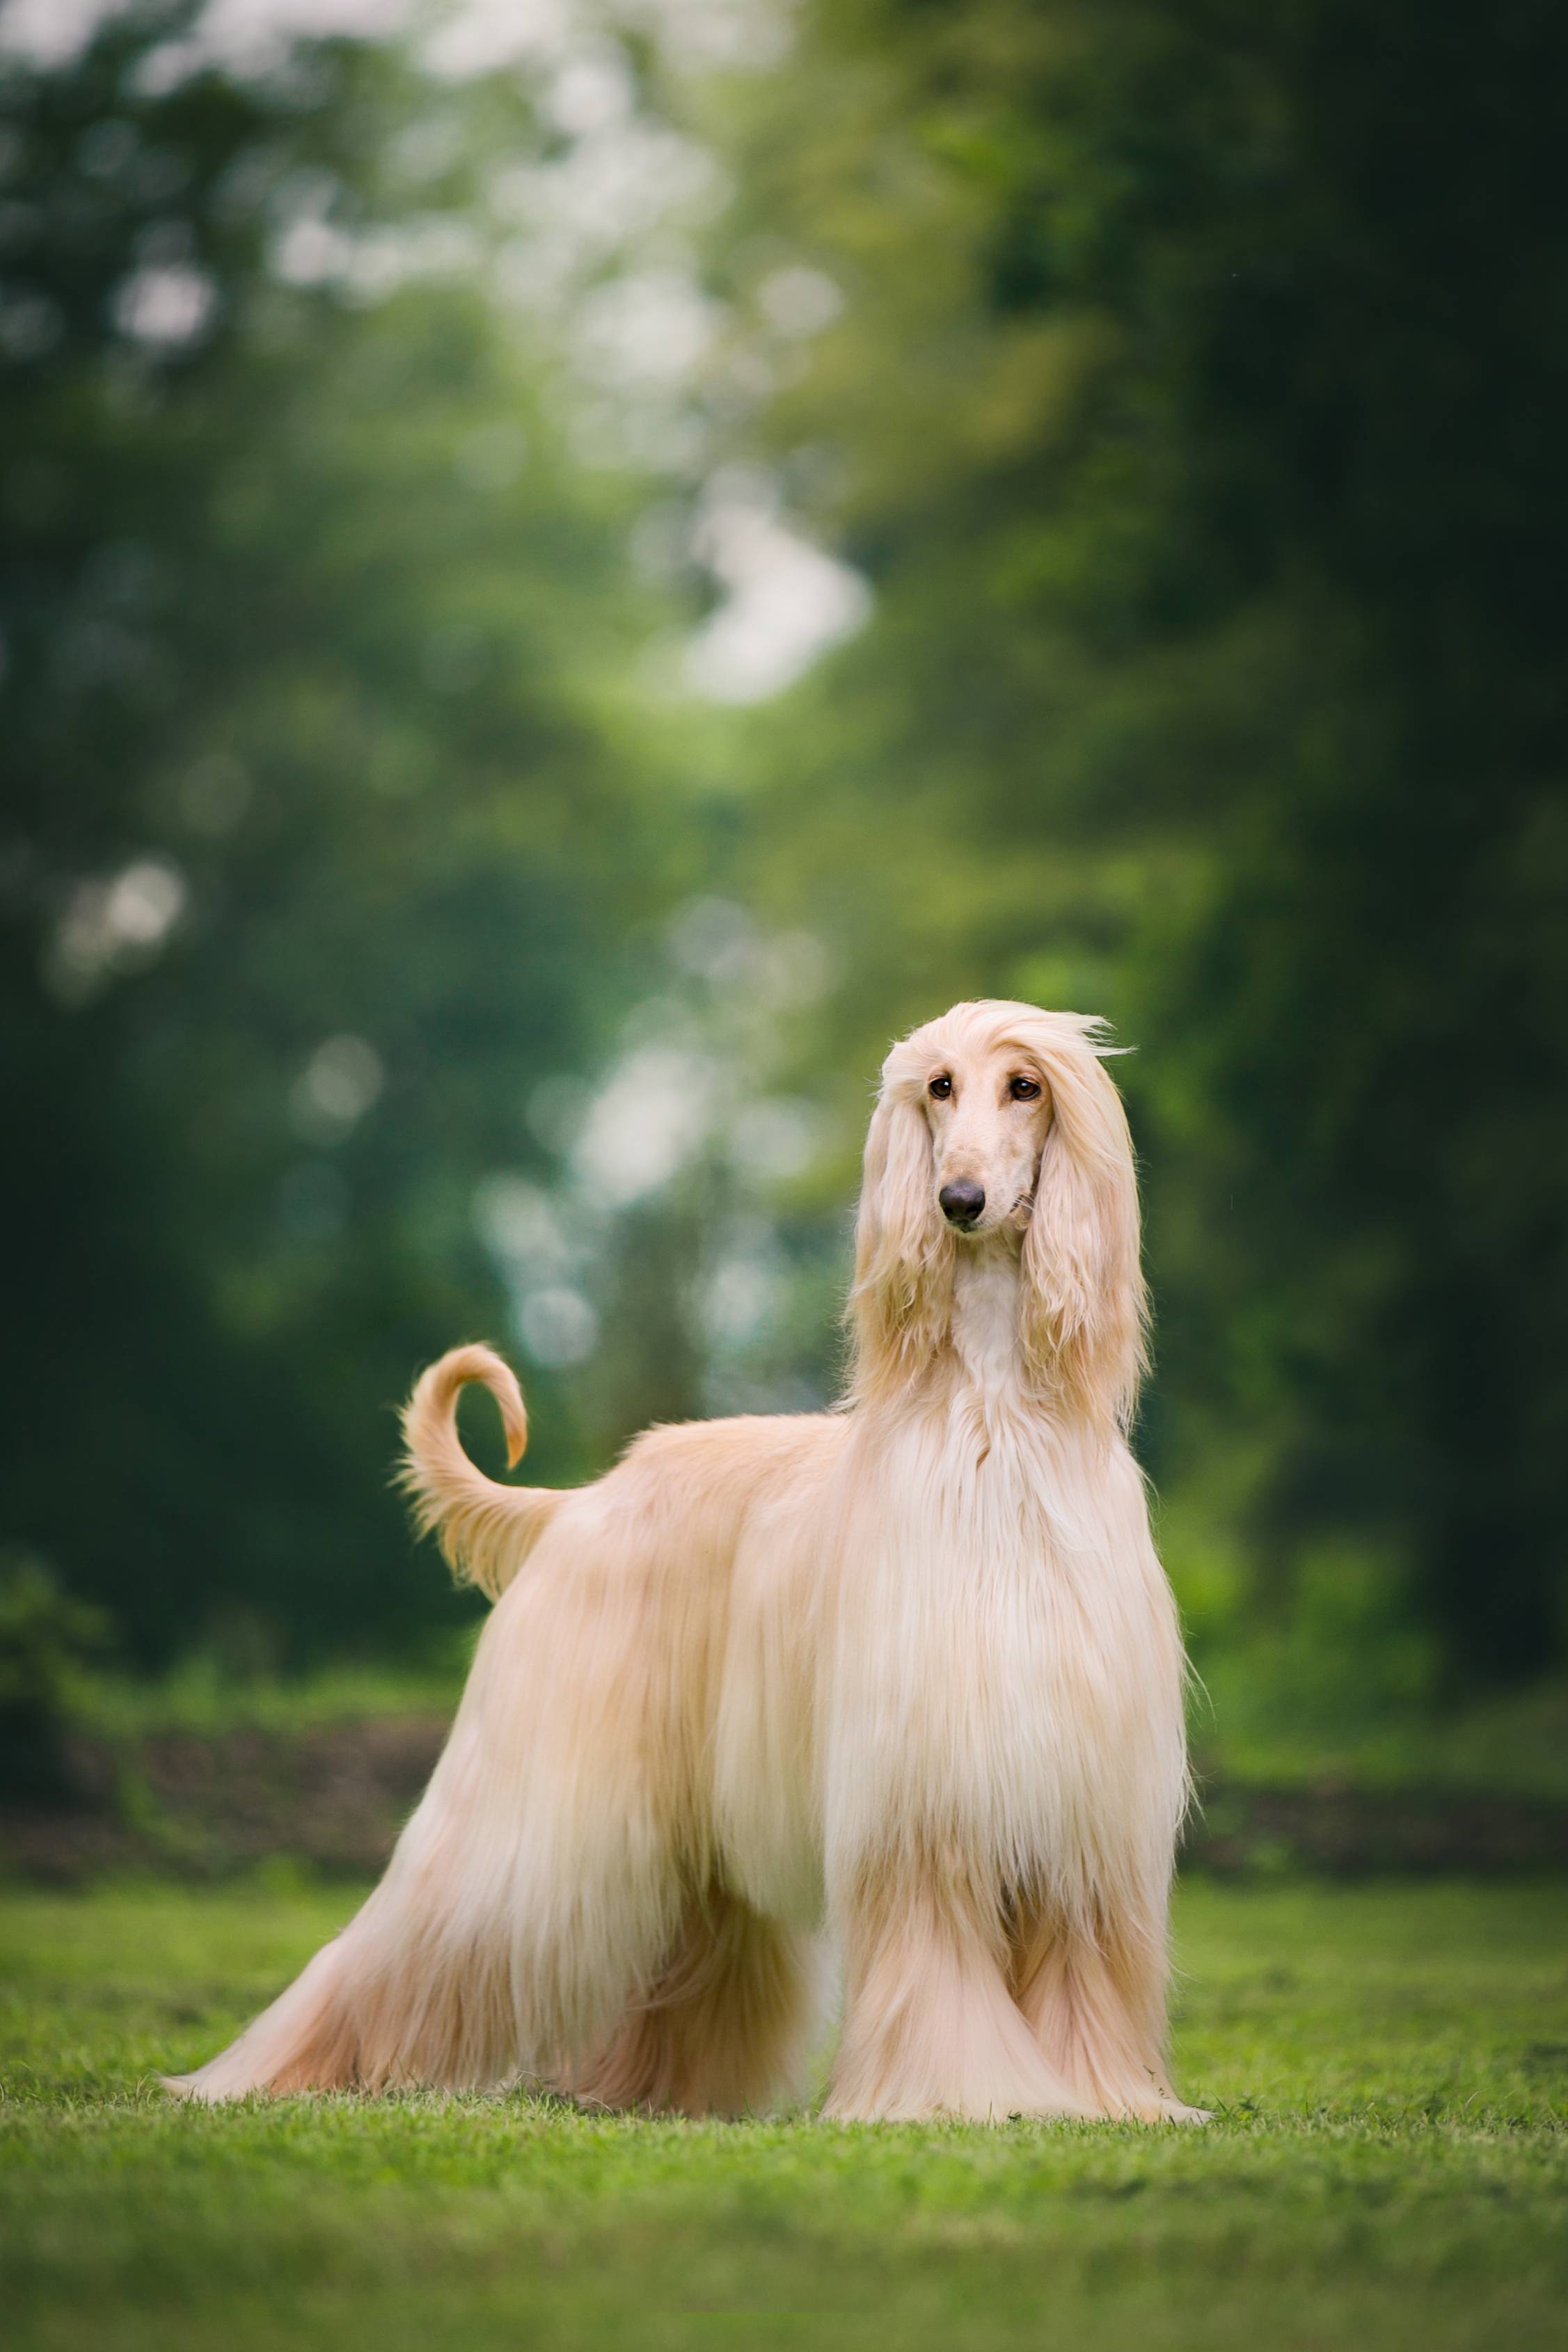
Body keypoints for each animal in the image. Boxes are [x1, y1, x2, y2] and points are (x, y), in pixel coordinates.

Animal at [168, 1000, 1199, 2122]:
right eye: (938, 1087)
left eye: (1025, 1086)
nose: (958, 1201)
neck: (996, 1424)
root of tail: (581, 1501)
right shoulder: (919, 1800)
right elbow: (936, 1974)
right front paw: (960, 2093)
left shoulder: (1083, 1816)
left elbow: (1085, 1984)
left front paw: (1103, 2098)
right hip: (536, 1802)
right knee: (410, 1931)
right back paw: (268, 2074)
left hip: (690, 1838)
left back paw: (647, 2091)